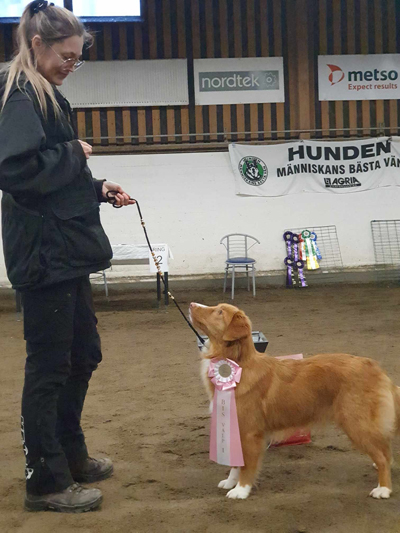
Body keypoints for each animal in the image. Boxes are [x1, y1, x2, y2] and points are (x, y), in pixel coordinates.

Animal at [188, 304, 400, 498]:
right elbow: (235, 462)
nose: (191, 305)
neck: (237, 364)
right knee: (385, 449)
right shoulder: (234, 424)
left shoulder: (249, 432)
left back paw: (383, 488)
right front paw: (231, 481)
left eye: (219, 312)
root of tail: (374, 367)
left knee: (382, 456)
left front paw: (241, 489)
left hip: (356, 423)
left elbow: (246, 464)